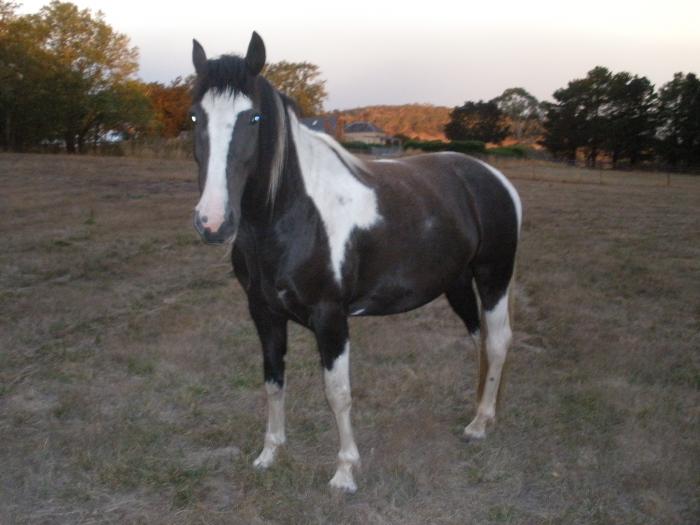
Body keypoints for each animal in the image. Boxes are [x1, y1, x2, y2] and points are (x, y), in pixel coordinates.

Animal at [189, 32, 522, 493]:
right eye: (194, 117)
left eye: (253, 117)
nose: (213, 222)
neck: (293, 215)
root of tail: (493, 178)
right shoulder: (264, 313)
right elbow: (273, 382)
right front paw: (270, 453)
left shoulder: (331, 317)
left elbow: (338, 393)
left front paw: (345, 471)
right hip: (456, 283)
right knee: (480, 341)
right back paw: (479, 413)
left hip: (493, 277)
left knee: (498, 341)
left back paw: (479, 423)